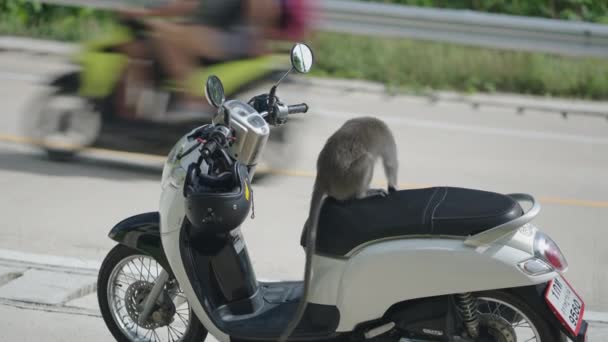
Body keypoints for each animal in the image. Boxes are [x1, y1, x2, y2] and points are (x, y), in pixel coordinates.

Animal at [280, 117, 400, 342]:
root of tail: (323, 176)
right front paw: (394, 187)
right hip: (348, 179)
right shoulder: (386, 136)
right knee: (367, 160)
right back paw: (363, 194)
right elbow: (390, 162)